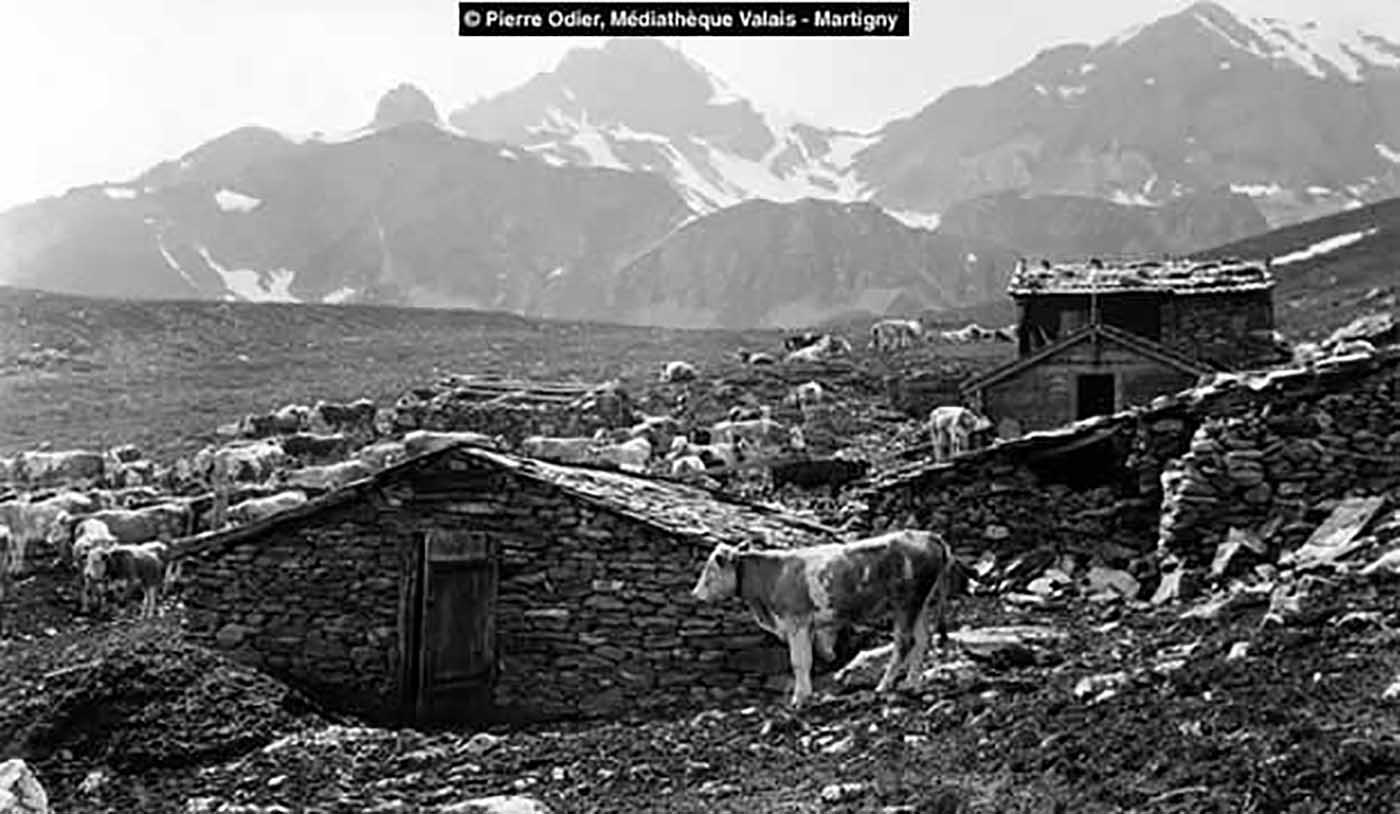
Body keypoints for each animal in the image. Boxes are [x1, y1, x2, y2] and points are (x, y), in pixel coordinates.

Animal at [690, 529, 958, 708]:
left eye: (710, 570)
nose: (695, 593)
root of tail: (926, 535)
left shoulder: (796, 621)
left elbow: (798, 662)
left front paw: (799, 699)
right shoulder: (807, 626)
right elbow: (808, 660)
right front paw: (807, 695)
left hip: (906, 602)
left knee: (904, 642)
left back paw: (884, 685)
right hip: (921, 603)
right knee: (921, 640)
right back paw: (912, 683)